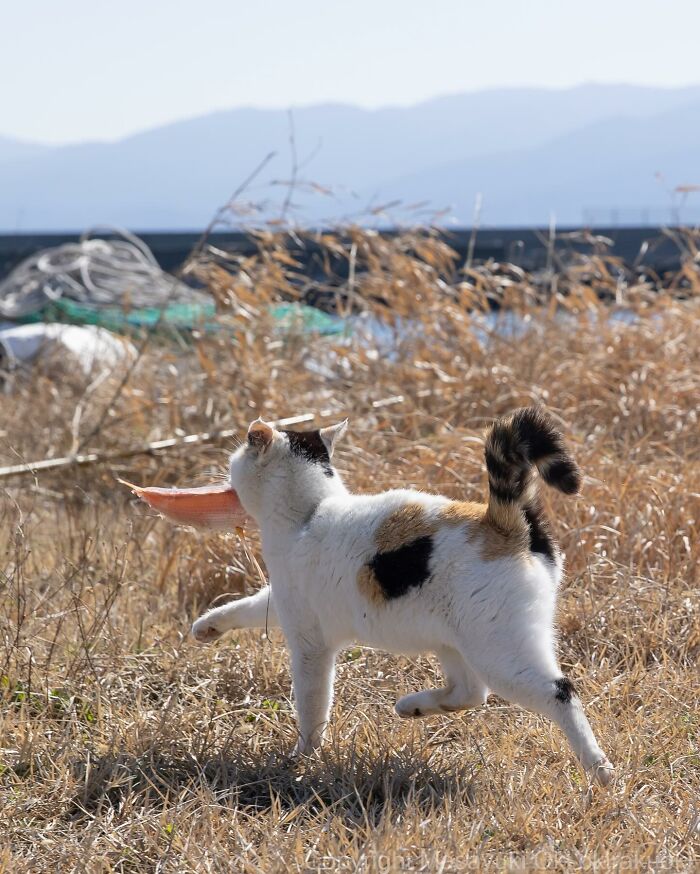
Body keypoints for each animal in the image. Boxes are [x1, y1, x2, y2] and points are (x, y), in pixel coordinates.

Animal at [190, 408, 612, 784]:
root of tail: (503, 521)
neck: (309, 512)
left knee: (558, 692)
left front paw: (301, 758)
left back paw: (600, 770)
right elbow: (248, 607)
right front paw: (207, 626)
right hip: (455, 642)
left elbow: (312, 705)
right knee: (471, 692)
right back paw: (413, 706)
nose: (226, 468)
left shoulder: (310, 643)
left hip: (500, 652)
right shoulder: (285, 600)